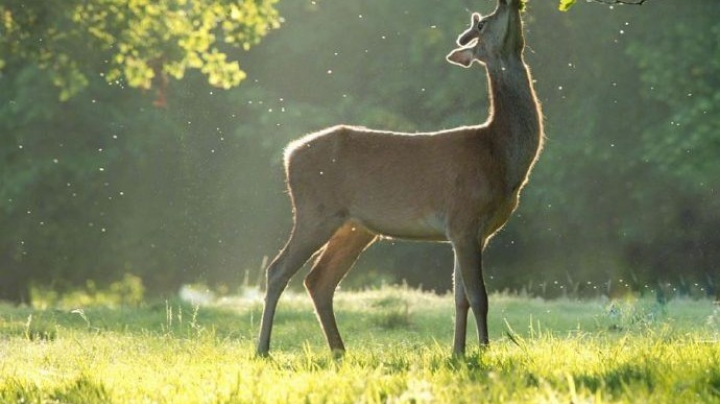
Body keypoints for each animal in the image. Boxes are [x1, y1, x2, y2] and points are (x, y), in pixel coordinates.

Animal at [256, 0, 544, 356]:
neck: (501, 157)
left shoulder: (473, 232)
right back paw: (263, 348)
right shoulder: (464, 219)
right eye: (483, 24)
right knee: (277, 269)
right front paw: (484, 351)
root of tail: (289, 154)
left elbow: (460, 297)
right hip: (315, 211)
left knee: (319, 280)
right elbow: (479, 296)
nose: (508, 2)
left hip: (355, 226)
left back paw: (339, 351)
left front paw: (458, 352)